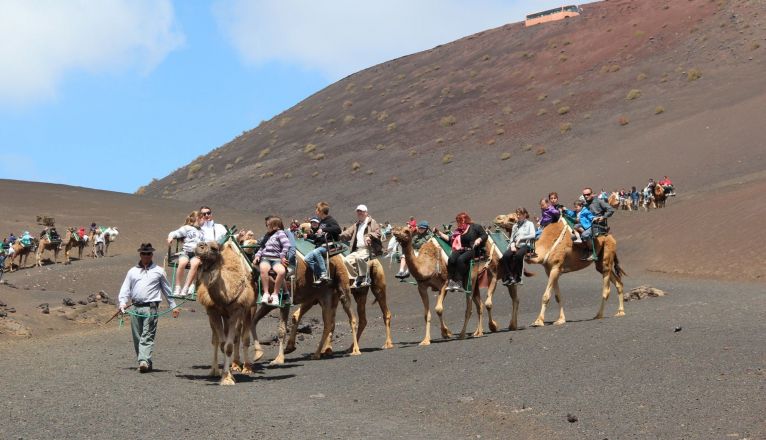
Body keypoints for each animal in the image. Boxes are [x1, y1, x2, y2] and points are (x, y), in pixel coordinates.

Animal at [496, 213, 628, 326]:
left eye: (512, 218)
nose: (497, 219)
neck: (544, 246)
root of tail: (611, 237)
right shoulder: (550, 270)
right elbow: (557, 296)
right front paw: (560, 320)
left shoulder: (556, 267)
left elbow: (546, 296)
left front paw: (538, 321)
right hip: (600, 264)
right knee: (619, 283)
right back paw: (620, 312)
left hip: (606, 258)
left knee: (606, 290)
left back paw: (599, 315)